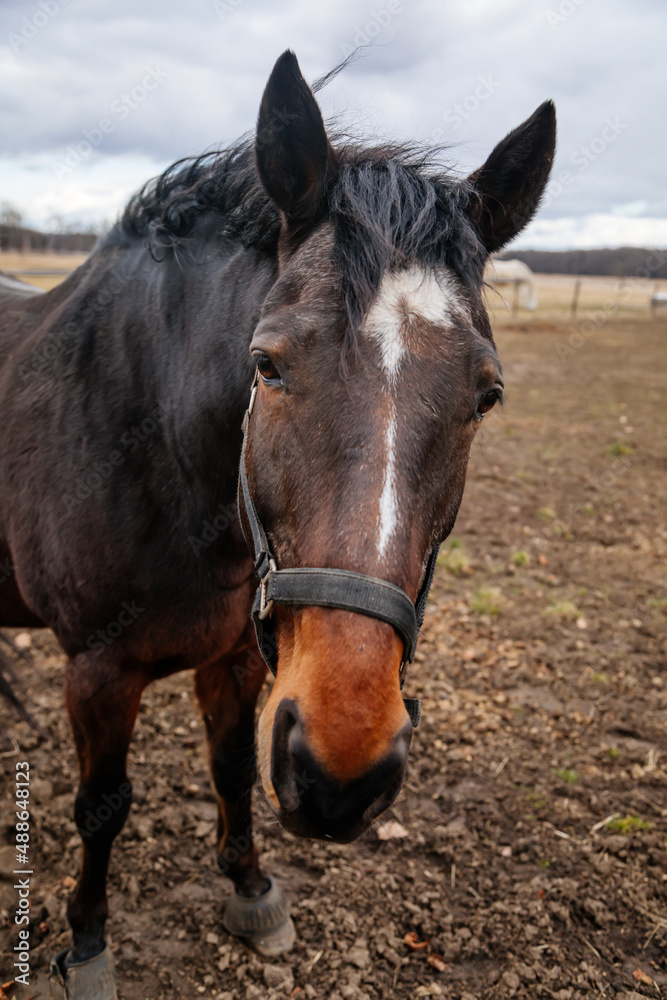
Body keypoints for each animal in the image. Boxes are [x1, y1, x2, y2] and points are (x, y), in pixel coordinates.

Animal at [0, 50, 556, 996]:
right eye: (266, 365)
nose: (342, 768)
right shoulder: (96, 672)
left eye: (486, 394)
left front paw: (251, 888)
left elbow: (230, 768)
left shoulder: (236, 656)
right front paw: (87, 941)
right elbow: (102, 807)